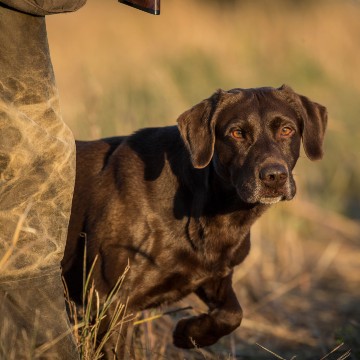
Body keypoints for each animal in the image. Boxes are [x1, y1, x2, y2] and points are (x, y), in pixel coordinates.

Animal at [61, 85, 326, 358]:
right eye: (237, 133)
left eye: (287, 130)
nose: (274, 176)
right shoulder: (109, 300)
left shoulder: (215, 275)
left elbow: (233, 314)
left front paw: (189, 333)